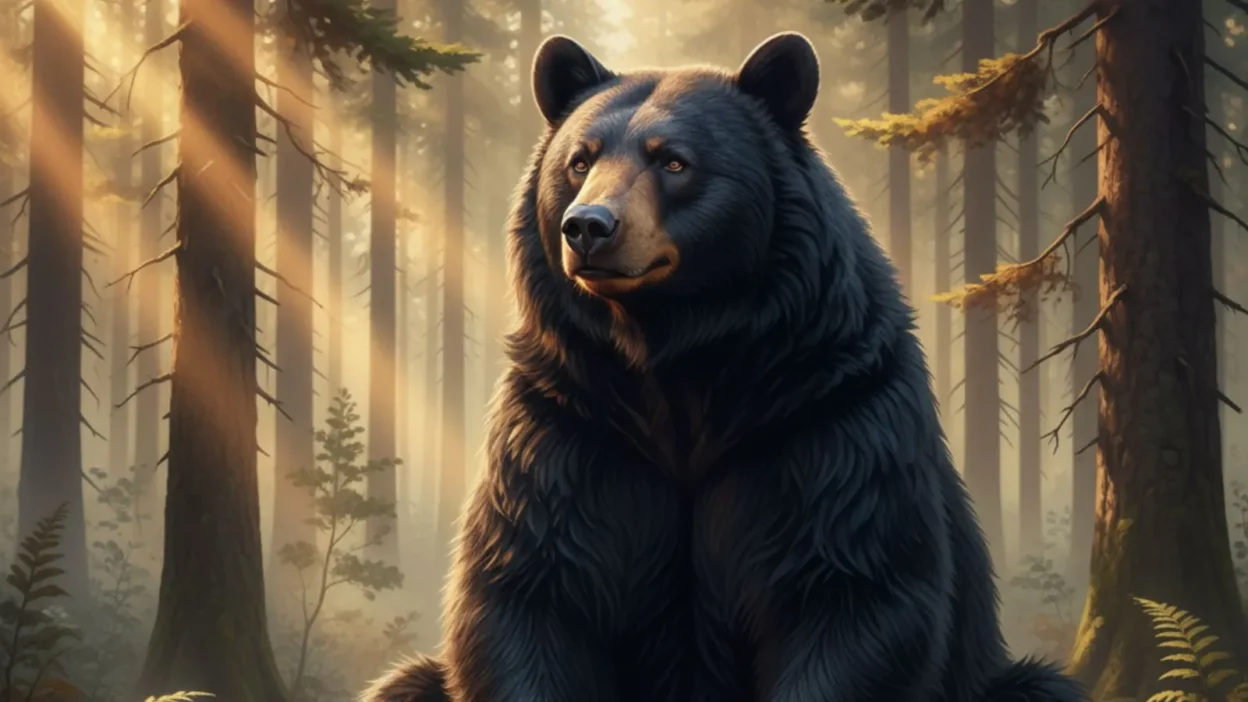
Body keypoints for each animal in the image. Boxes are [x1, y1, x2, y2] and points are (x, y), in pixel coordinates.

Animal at [360, 32, 1086, 702]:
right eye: (579, 159)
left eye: (674, 161)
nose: (588, 226)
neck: (678, 355)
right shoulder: (568, 423)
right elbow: (531, 590)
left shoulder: (833, 417)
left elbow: (853, 593)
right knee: (402, 683)